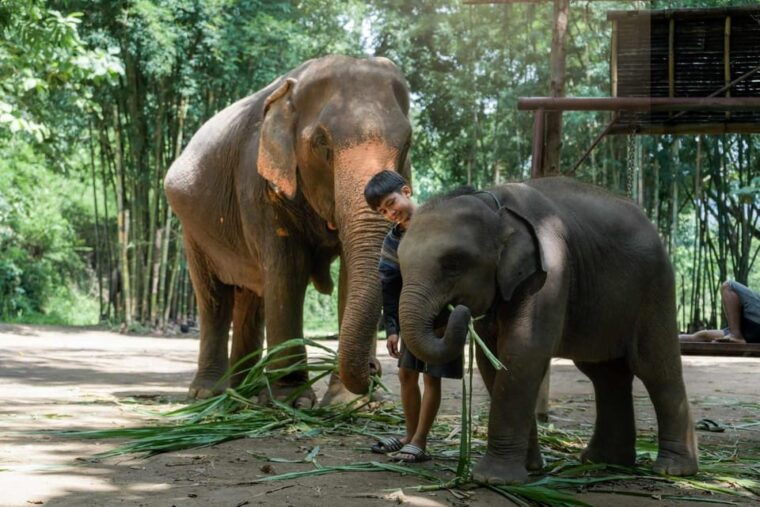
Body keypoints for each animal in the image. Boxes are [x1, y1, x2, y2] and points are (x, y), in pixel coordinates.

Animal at [164, 55, 412, 405]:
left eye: (407, 142)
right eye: (322, 143)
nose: (375, 369)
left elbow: (350, 273)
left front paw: (348, 404)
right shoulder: (257, 185)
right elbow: (287, 271)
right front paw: (292, 401)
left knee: (251, 300)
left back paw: (244, 393)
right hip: (192, 229)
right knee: (214, 298)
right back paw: (208, 395)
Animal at [396, 177, 699, 484]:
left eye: (454, 263)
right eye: (400, 263)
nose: (457, 309)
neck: (494, 202)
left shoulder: (550, 271)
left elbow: (523, 351)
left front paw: (493, 479)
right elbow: (491, 359)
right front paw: (530, 468)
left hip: (655, 287)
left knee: (654, 367)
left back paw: (674, 470)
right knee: (606, 374)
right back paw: (604, 461)